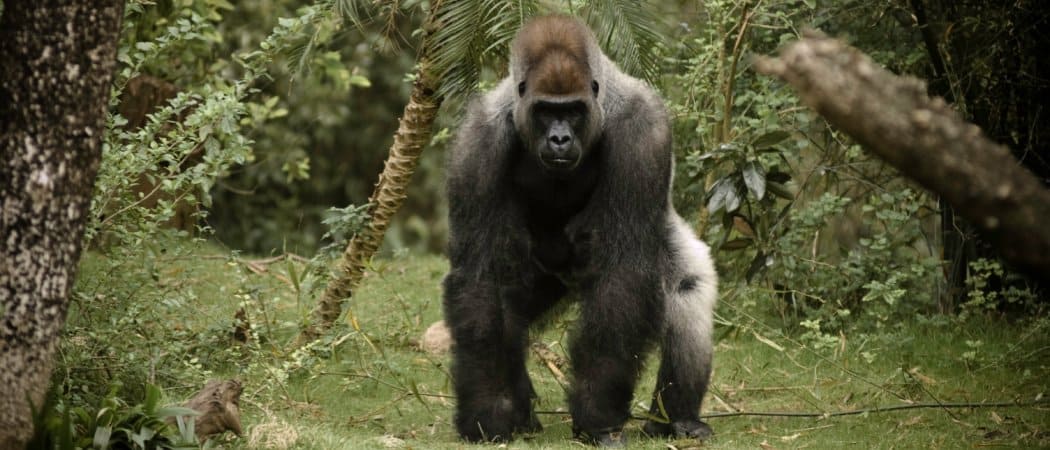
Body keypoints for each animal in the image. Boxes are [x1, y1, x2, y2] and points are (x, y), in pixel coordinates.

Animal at [442, 15, 717, 447]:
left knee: (687, 290)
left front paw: (597, 415)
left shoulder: (643, 133)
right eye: (544, 111)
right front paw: (488, 412)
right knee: (510, 313)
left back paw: (677, 418)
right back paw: (522, 414)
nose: (559, 139)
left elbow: (623, 272)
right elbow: (479, 276)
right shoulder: (476, 144)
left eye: (572, 111)